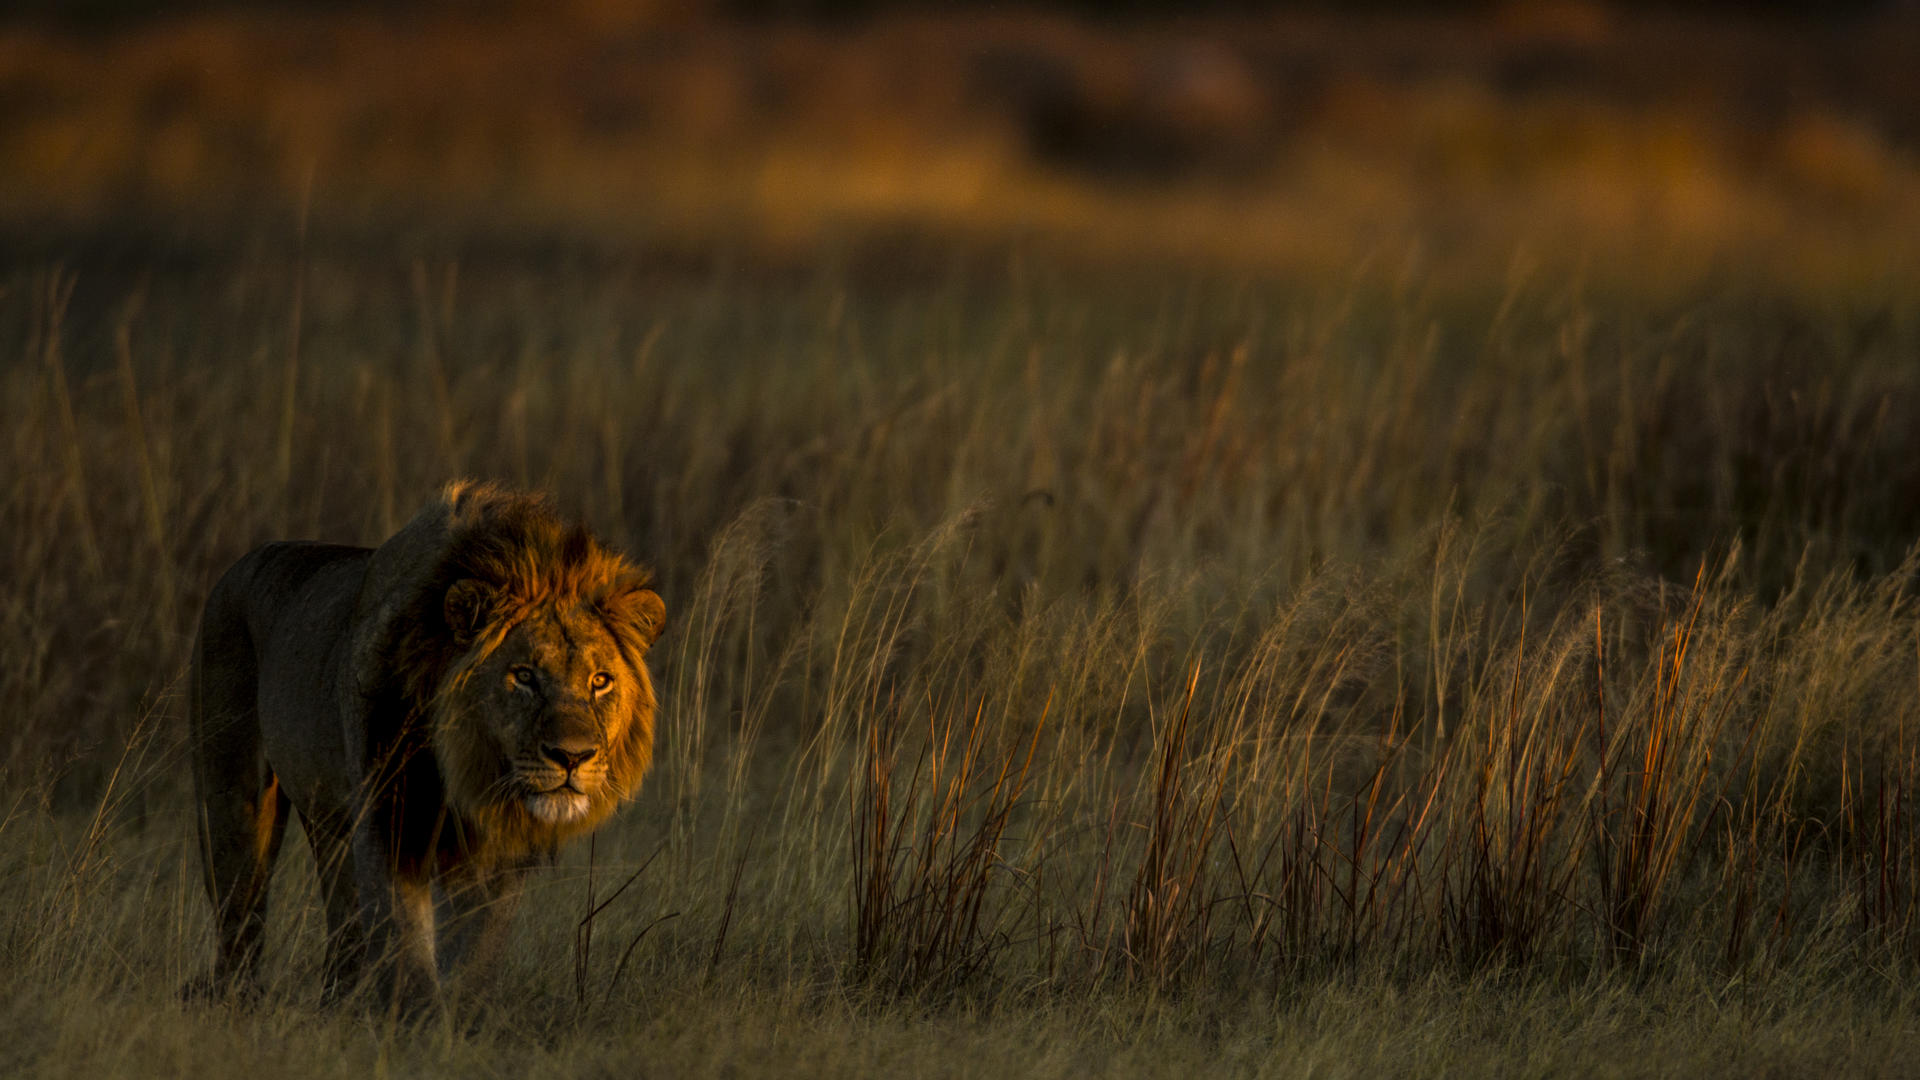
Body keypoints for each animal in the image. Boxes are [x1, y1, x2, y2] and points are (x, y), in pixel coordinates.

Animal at [187, 478, 668, 1006]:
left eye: (600, 681)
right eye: (524, 676)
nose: (573, 756)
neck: (467, 770)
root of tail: (245, 560)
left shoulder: (494, 851)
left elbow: (476, 951)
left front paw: (461, 1013)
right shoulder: (392, 817)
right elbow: (406, 944)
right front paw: (417, 1015)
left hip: (327, 816)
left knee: (341, 912)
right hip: (235, 801)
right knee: (241, 913)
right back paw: (235, 998)